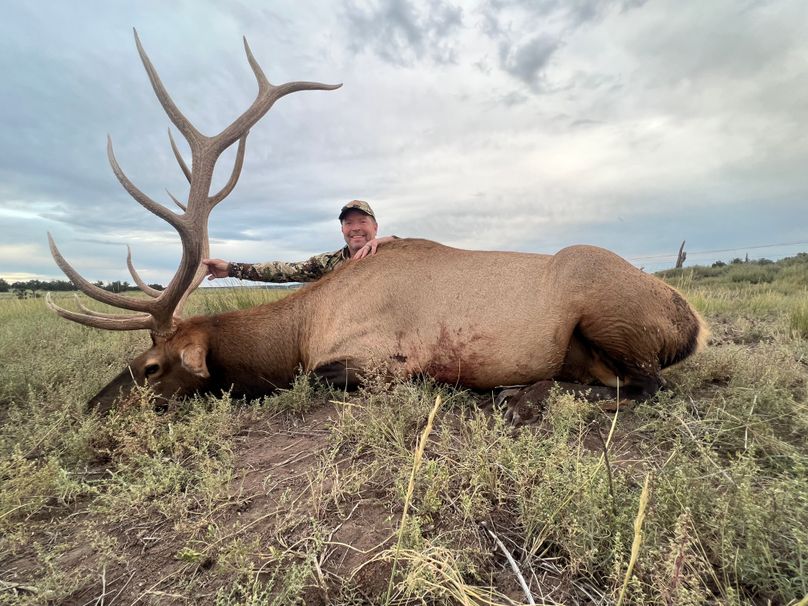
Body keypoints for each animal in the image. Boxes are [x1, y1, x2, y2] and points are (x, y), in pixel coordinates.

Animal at [47, 31, 709, 420]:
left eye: (152, 367)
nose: (91, 408)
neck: (303, 328)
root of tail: (693, 324)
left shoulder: (378, 357)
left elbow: (323, 379)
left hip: (604, 303)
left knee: (648, 385)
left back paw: (518, 395)